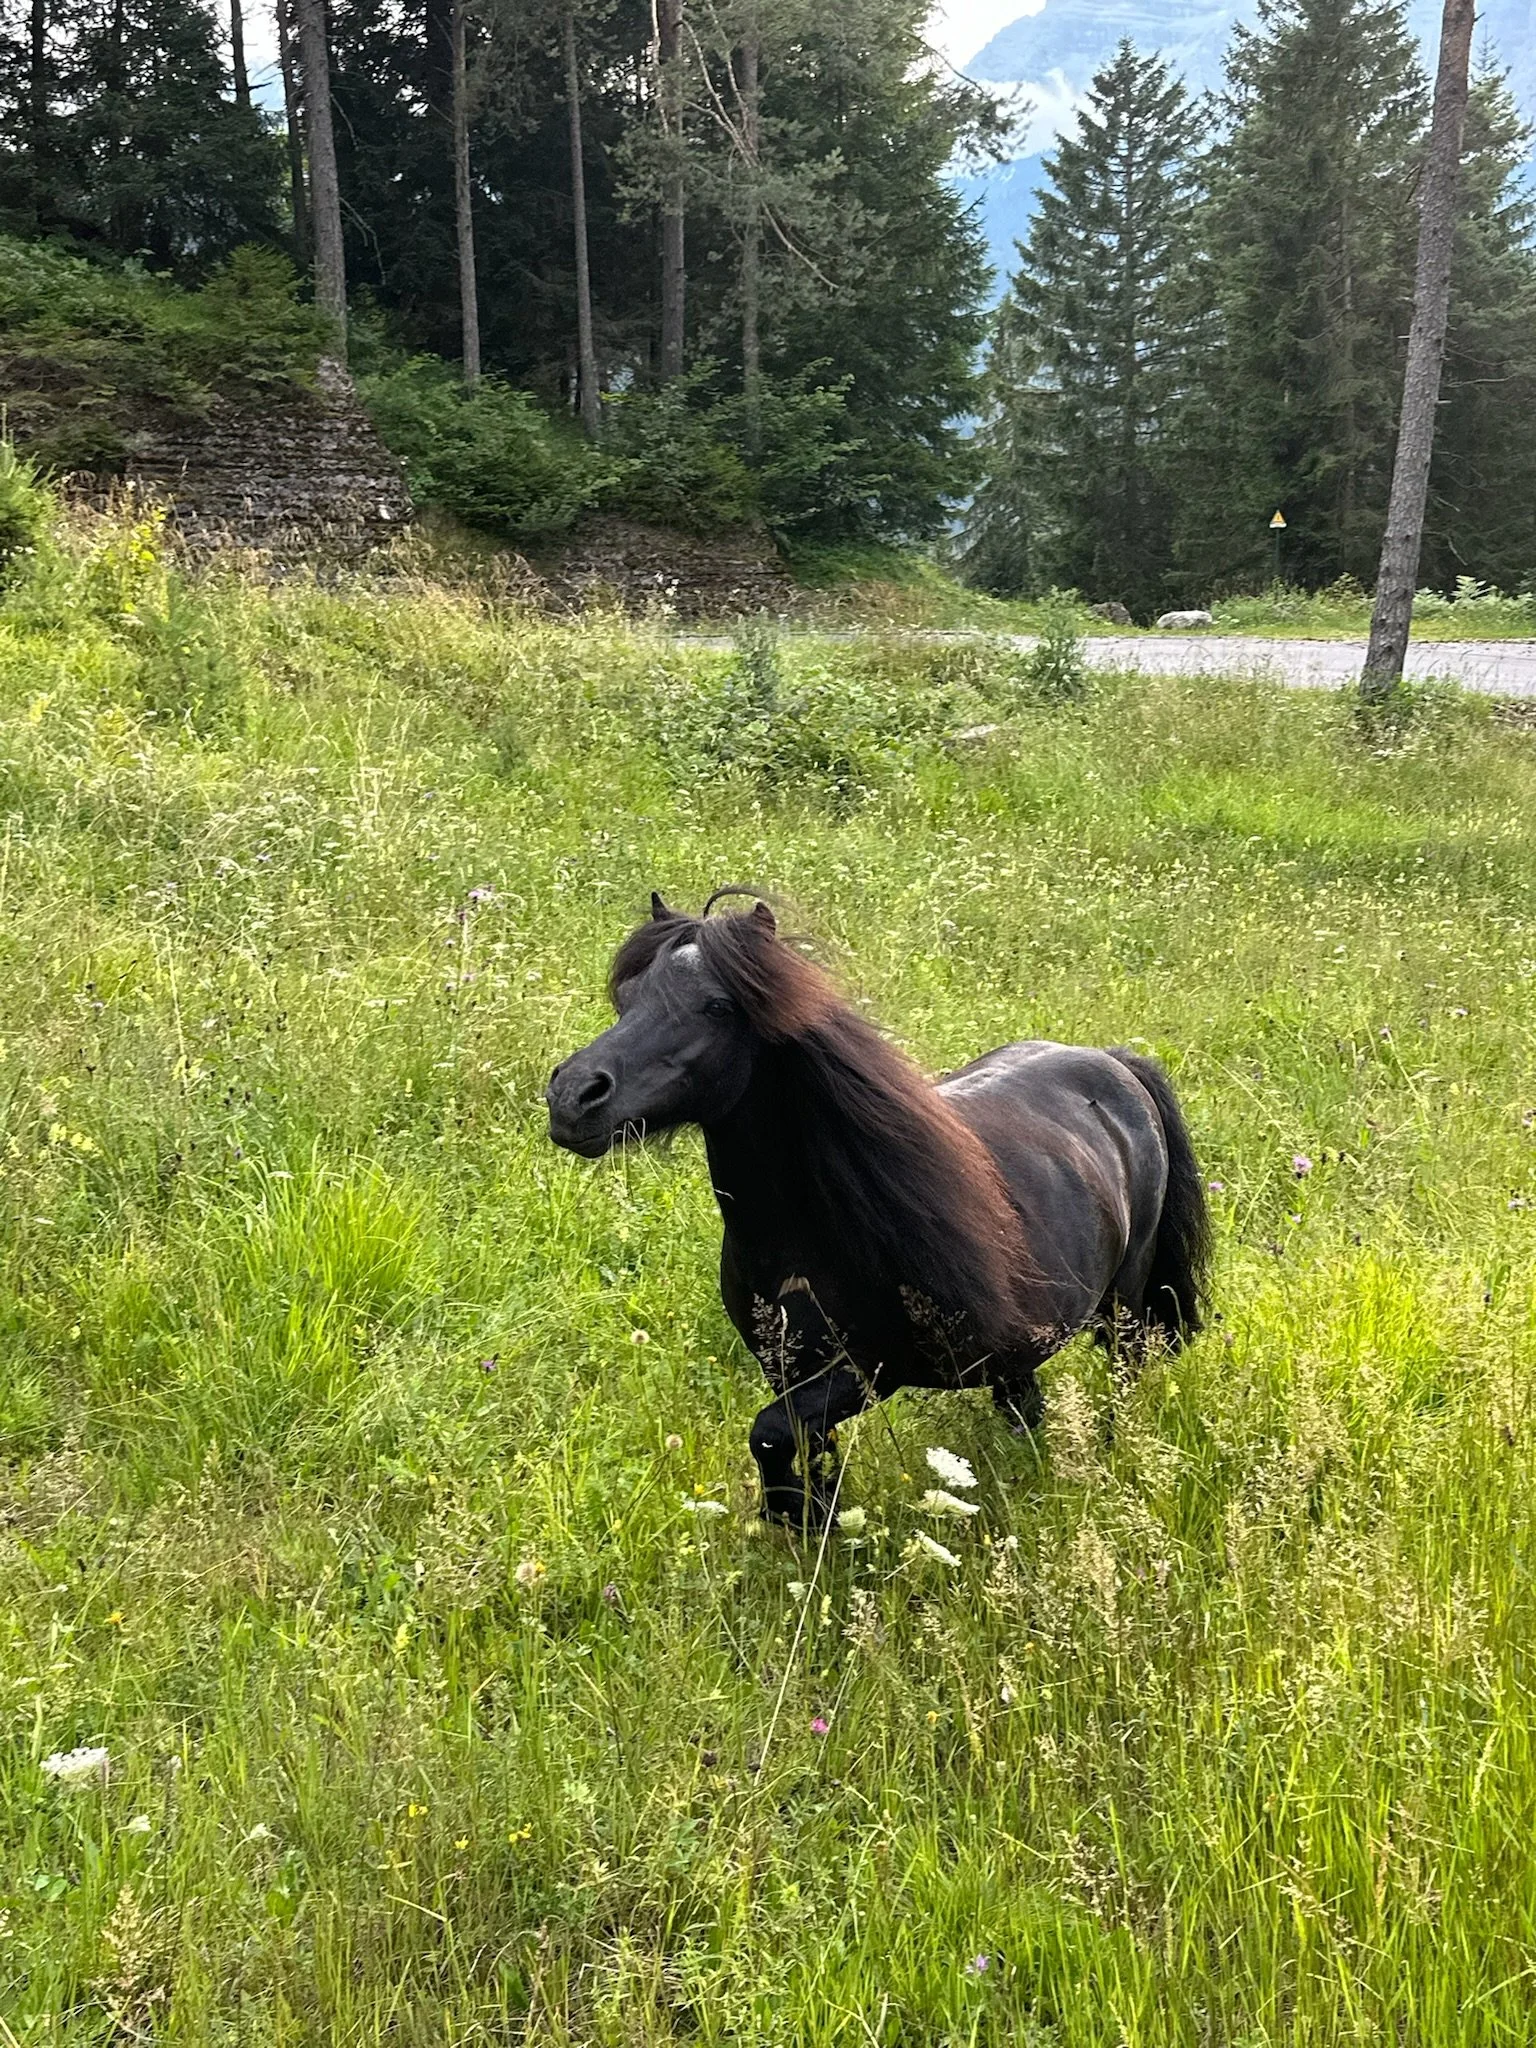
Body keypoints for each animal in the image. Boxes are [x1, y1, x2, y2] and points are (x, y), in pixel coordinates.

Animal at [546, 892, 1211, 1528]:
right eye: (628, 997)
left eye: (717, 1005)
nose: (573, 1097)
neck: (806, 1233)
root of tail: (1115, 1063)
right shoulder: (787, 1372)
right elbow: (802, 1448)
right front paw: (815, 1519)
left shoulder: (870, 1370)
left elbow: (769, 1434)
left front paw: (801, 1514)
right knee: (1024, 1405)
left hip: (1122, 1310)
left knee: (1122, 1383)